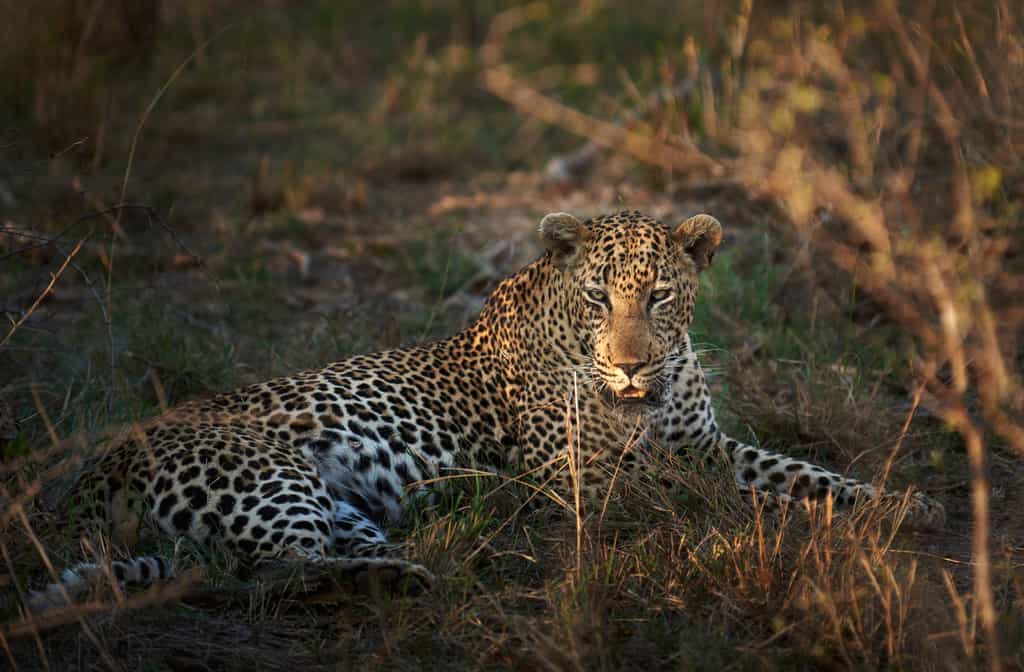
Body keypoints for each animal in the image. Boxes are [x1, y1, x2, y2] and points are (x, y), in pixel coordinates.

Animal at [25, 209, 945, 611]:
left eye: (659, 295)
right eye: (599, 297)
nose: (630, 364)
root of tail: (89, 473)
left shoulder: (704, 444)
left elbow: (797, 470)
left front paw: (898, 502)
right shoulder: (581, 479)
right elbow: (716, 496)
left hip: (337, 505)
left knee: (277, 560)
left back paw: (422, 561)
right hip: (266, 472)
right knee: (271, 570)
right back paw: (411, 571)